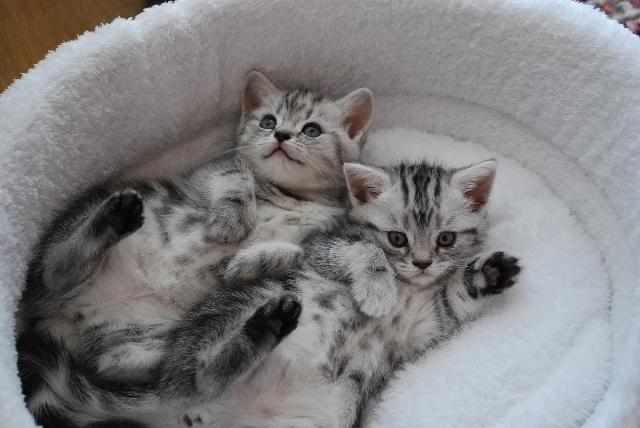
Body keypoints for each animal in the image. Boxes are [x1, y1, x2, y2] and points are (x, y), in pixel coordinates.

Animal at [17, 71, 374, 428]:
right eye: (268, 122)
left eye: (311, 130)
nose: (282, 135)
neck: (292, 195)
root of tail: (56, 314)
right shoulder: (206, 172)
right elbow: (237, 174)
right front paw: (231, 221)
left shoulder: (324, 234)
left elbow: (301, 252)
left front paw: (252, 261)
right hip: (93, 217)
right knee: (54, 268)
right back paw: (114, 218)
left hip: (144, 341)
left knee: (167, 374)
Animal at [68, 158, 519, 427]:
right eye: (397, 238)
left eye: (446, 239)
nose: (423, 263)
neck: (410, 288)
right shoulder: (322, 248)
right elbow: (361, 250)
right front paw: (377, 291)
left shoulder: (426, 325)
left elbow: (454, 299)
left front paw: (487, 273)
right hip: (240, 306)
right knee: (197, 378)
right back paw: (263, 328)